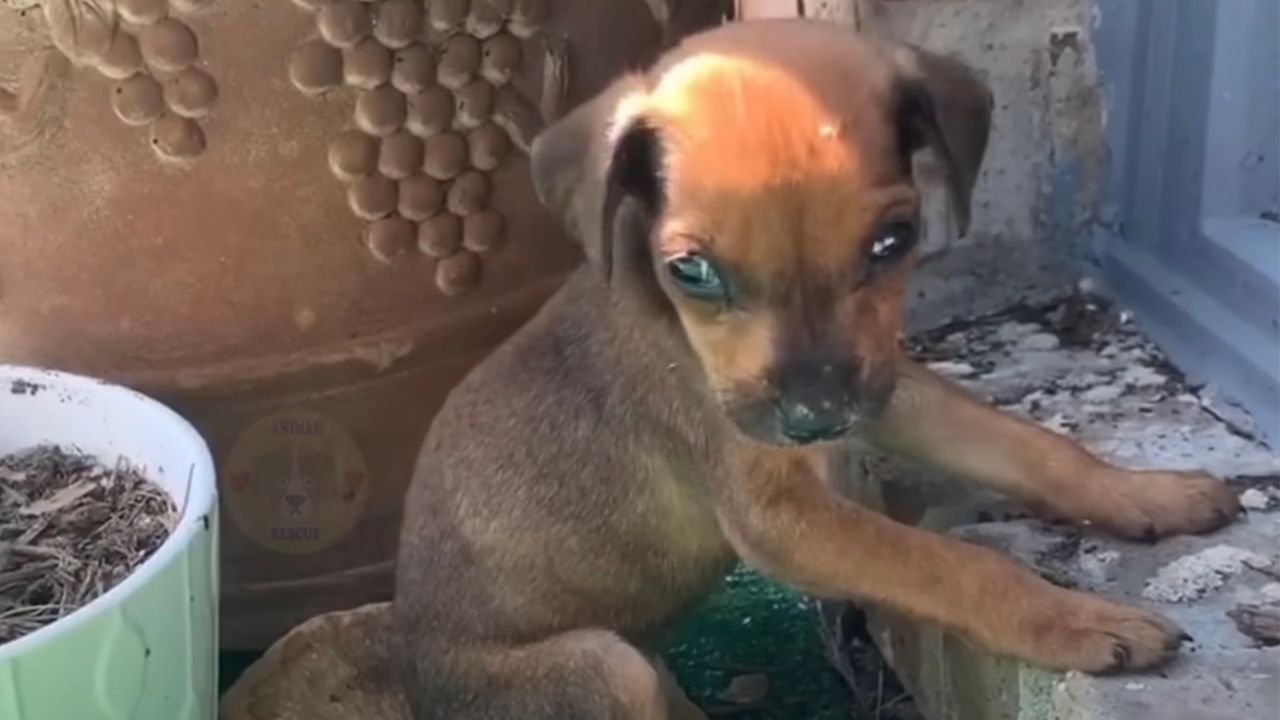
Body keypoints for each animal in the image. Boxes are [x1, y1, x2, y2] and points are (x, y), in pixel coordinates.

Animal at [396, 18, 1239, 717]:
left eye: (895, 241)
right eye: (691, 271)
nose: (815, 420)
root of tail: (408, 652)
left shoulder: (883, 385)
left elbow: (1033, 446)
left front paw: (1147, 494)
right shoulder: (777, 515)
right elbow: (952, 563)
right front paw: (1075, 618)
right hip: (603, 668)